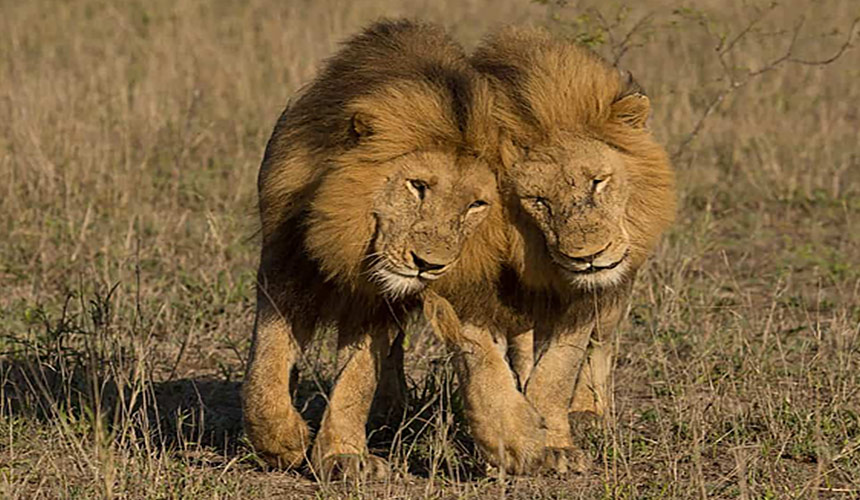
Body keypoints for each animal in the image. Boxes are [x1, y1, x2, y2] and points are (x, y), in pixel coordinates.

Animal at [242, 19, 506, 480]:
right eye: (417, 186)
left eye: (476, 205)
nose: (429, 265)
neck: (346, 240)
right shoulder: (287, 267)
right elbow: (267, 363)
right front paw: (283, 442)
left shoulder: (376, 303)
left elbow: (358, 377)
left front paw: (342, 456)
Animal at [427, 27, 676, 474]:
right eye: (538, 201)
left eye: (598, 181)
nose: (587, 256)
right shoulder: (465, 285)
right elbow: (482, 362)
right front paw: (507, 439)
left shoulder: (582, 299)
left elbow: (560, 369)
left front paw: (557, 445)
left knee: (599, 347)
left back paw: (589, 413)